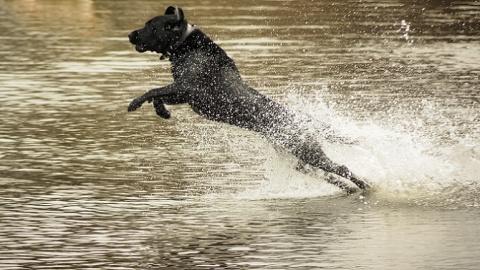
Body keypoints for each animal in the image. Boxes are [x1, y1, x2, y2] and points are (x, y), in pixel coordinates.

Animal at [125, 5, 370, 192]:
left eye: (150, 26)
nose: (129, 35)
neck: (185, 44)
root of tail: (301, 120)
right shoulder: (184, 96)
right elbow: (158, 97)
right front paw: (162, 112)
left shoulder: (186, 88)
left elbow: (152, 91)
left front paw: (134, 103)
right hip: (296, 158)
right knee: (329, 175)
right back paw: (351, 189)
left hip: (307, 151)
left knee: (342, 168)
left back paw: (366, 185)